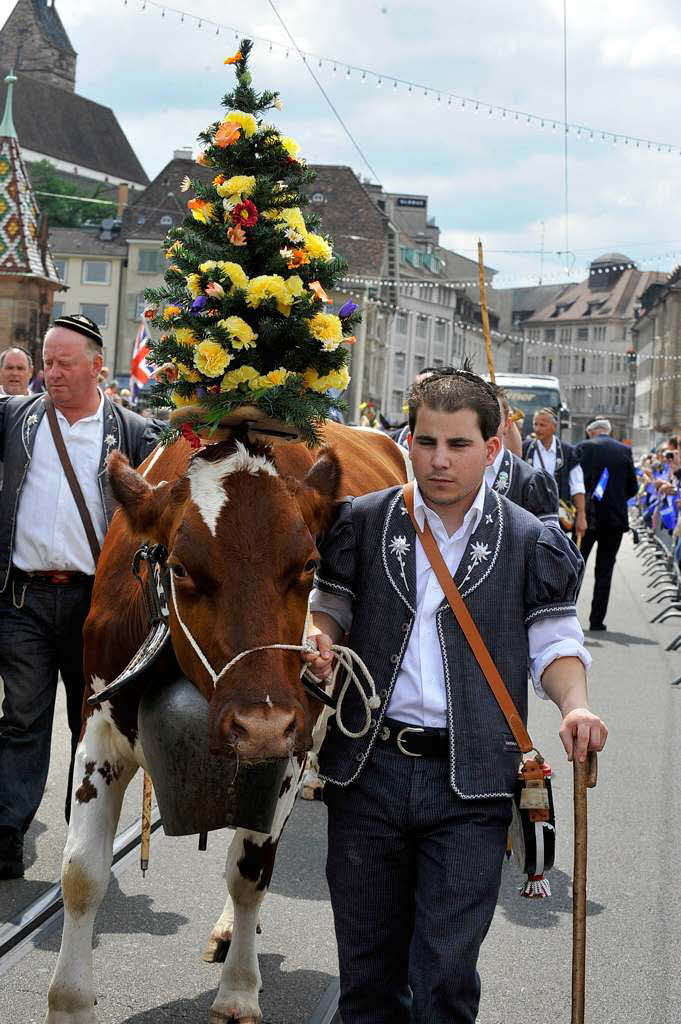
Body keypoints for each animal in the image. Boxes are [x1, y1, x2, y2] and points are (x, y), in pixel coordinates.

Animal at [46, 421, 409, 1024]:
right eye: (179, 568)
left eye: (310, 565)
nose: (259, 725)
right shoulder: (97, 728)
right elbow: (81, 875)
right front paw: (70, 1004)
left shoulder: (289, 746)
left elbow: (249, 871)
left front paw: (238, 990)